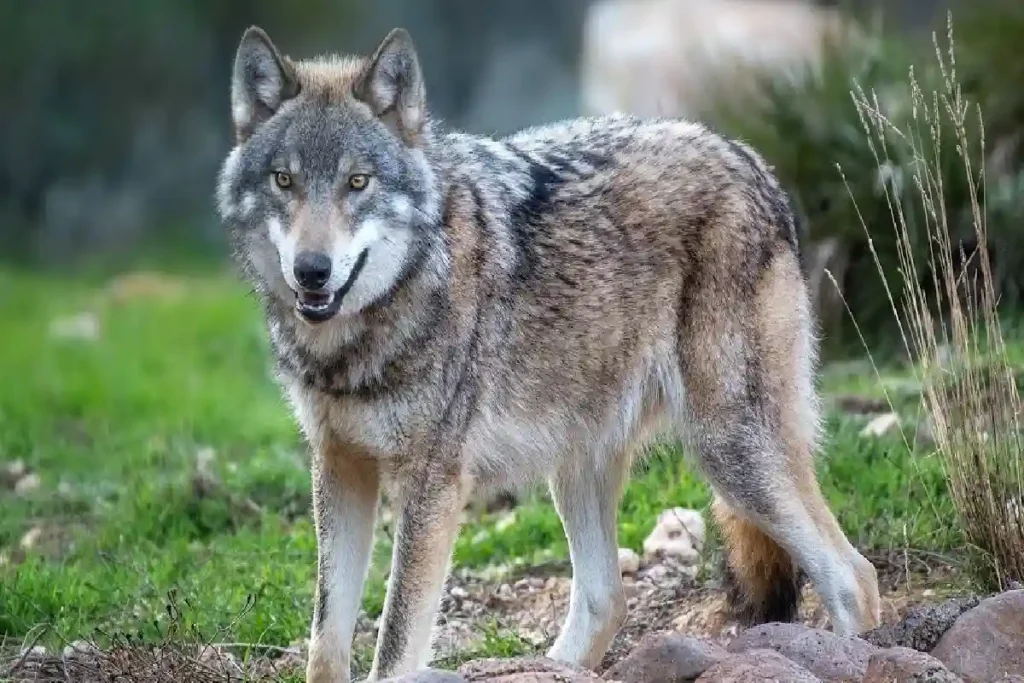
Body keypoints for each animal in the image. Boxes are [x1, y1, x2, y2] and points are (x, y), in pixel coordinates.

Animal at [215, 24, 881, 683]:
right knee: (605, 599)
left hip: (729, 451)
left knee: (854, 576)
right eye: (283, 181)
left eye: (358, 182)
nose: (312, 271)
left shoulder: (433, 486)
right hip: (582, 462)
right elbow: (326, 643)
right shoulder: (338, 467)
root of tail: (752, 160)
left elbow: (395, 646)